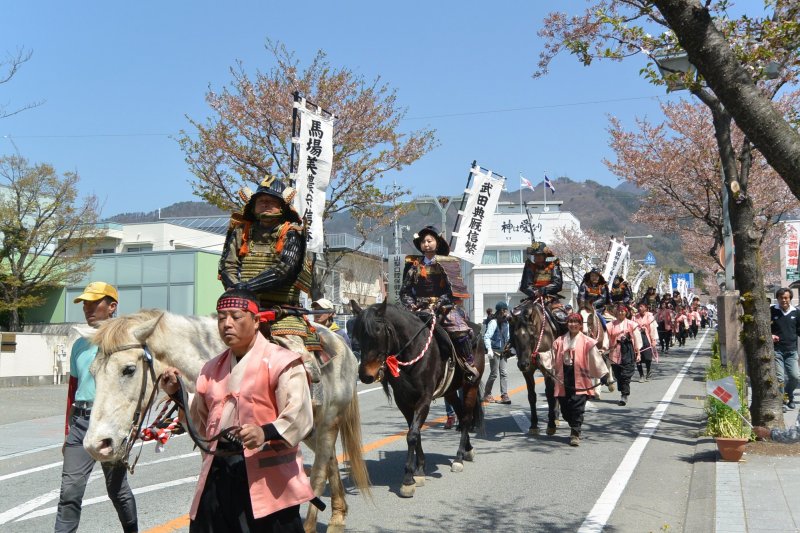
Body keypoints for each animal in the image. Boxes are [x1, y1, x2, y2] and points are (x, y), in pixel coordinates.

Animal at [81, 308, 368, 532]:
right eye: (92, 373)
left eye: (128, 370)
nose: (97, 445)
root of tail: (342, 344)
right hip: (312, 430)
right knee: (330, 459)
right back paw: (338, 515)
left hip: (328, 420)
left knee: (318, 473)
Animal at [352, 302, 488, 496]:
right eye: (357, 334)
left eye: (377, 331)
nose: (365, 375)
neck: (413, 351)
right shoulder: (403, 400)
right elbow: (414, 432)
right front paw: (420, 470)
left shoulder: (424, 399)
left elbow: (412, 435)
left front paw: (408, 478)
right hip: (450, 391)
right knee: (461, 415)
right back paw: (468, 450)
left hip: (471, 384)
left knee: (467, 418)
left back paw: (459, 458)